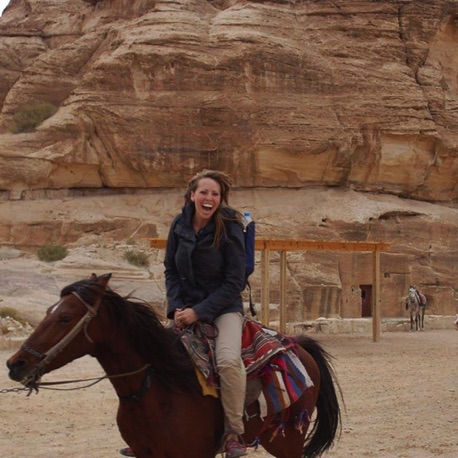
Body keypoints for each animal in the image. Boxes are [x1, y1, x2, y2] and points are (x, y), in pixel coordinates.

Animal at [7, 274, 342, 456]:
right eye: (49, 311)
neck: (152, 391)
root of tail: (298, 344)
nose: (15, 363)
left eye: (65, 317)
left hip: (288, 438)